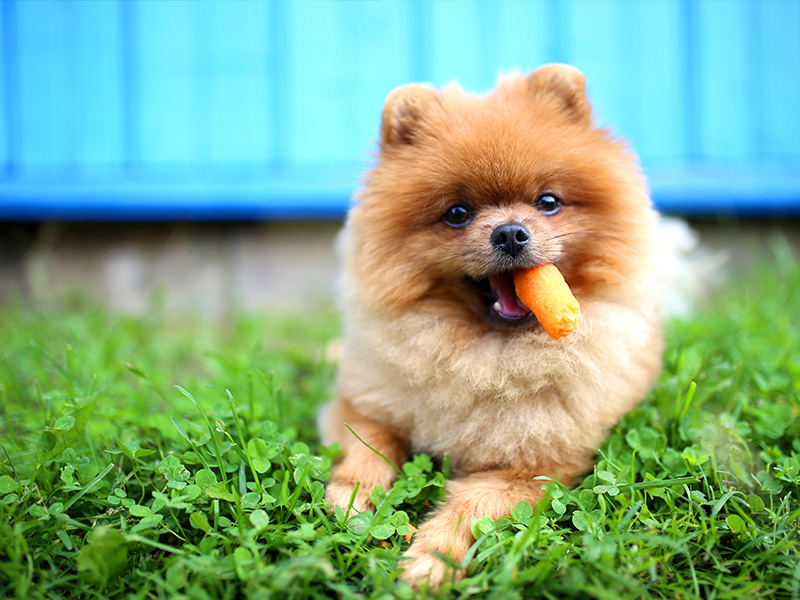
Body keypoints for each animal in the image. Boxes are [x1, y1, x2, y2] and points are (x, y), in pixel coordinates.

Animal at [318, 63, 664, 588]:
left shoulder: (532, 468)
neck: (484, 355)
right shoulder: (362, 405)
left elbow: (472, 507)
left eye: (548, 202)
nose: (510, 232)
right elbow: (366, 448)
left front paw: (430, 559)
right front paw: (354, 499)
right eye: (457, 213)